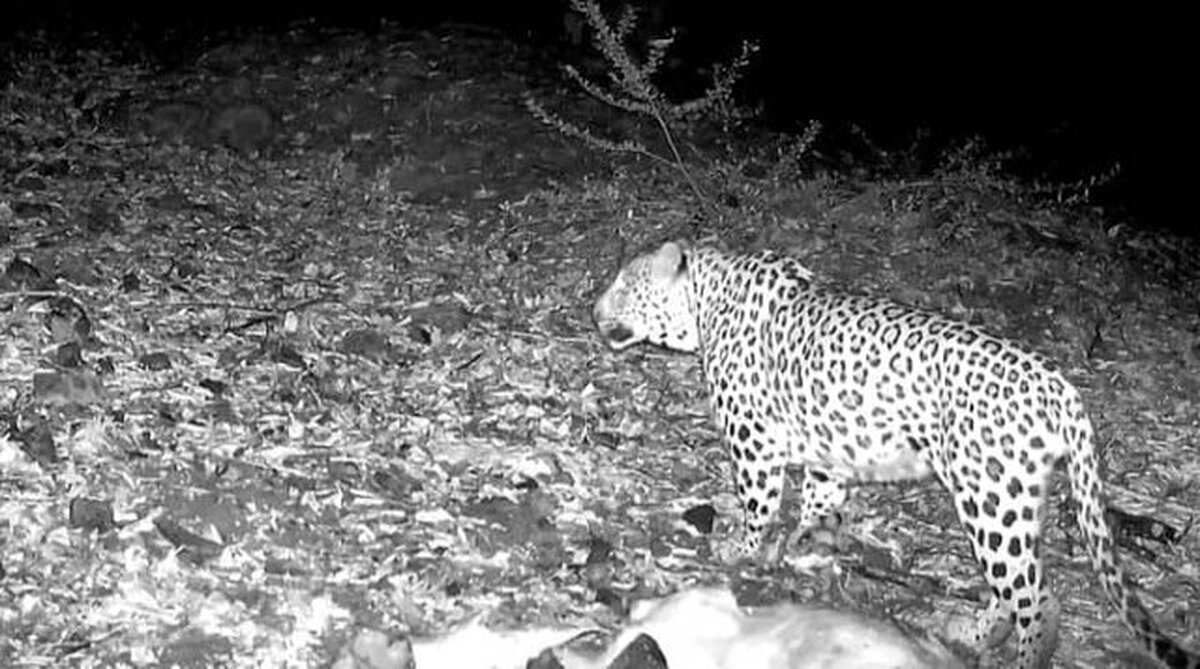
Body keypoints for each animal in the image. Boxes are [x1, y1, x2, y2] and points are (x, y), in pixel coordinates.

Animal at [593, 240, 1198, 669]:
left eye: (624, 285)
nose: (594, 310)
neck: (707, 300)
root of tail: (1062, 387)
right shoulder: (825, 443)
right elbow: (821, 494)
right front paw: (808, 541)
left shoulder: (753, 439)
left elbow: (759, 502)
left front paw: (741, 551)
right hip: (1015, 502)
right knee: (1013, 590)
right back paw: (970, 632)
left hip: (991, 499)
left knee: (1038, 600)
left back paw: (1020, 655)